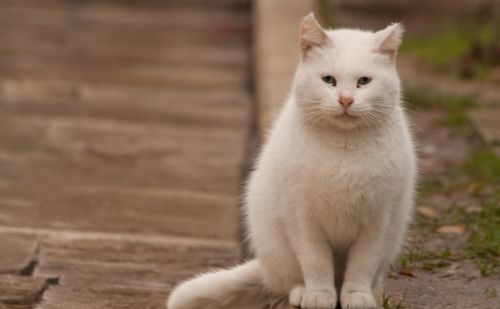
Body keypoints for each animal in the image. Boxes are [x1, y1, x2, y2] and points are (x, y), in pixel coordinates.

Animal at [166, 12, 416, 308]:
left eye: (364, 81)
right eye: (329, 80)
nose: (345, 100)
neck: (344, 147)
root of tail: (264, 268)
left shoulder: (379, 219)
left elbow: (362, 264)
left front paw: (357, 296)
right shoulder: (302, 218)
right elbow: (315, 261)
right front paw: (319, 295)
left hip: (394, 234)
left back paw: (371, 292)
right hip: (275, 241)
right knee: (288, 280)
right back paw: (302, 291)